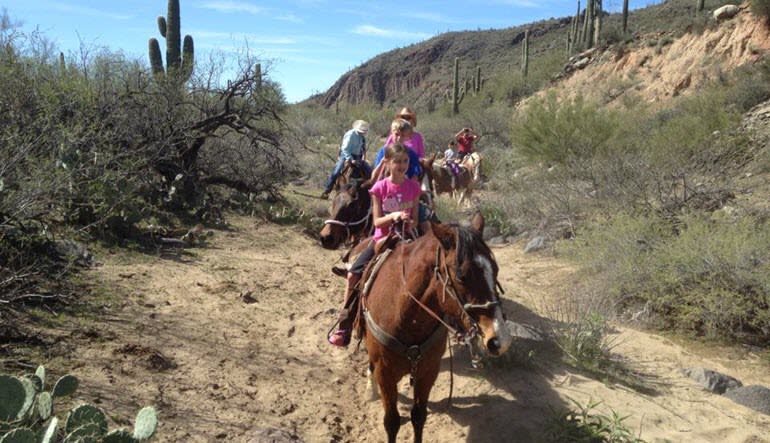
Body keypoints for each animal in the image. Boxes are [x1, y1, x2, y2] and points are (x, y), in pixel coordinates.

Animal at [358, 213, 510, 442]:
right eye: (461, 276)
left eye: (496, 269)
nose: (499, 339)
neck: (406, 317)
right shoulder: (385, 374)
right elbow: (391, 422)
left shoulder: (428, 372)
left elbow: (419, 416)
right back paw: (369, 388)